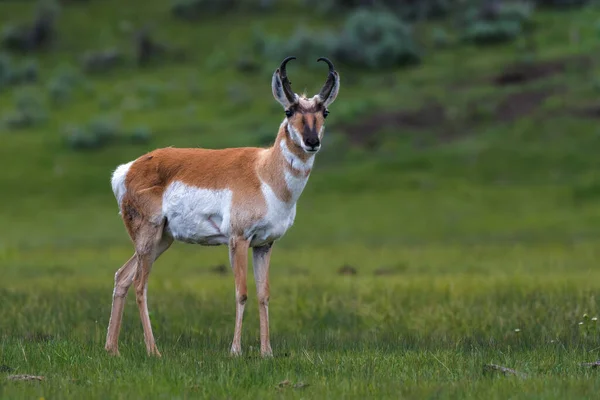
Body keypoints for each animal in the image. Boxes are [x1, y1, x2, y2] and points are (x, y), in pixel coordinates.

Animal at [105, 55, 340, 356]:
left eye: (325, 112)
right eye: (289, 111)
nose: (312, 142)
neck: (264, 172)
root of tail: (127, 169)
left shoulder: (264, 244)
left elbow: (264, 295)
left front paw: (267, 352)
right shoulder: (237, 239)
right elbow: (242, 293)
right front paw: (236, 351)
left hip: (162, 240)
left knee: (122, 276)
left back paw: (112, 349)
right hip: (148, 236)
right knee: (139, 284)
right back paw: (153, 351)